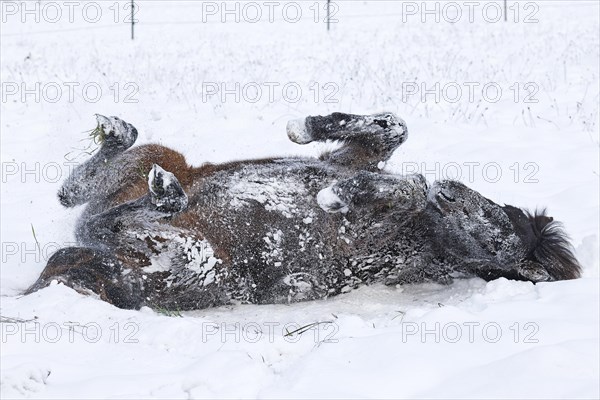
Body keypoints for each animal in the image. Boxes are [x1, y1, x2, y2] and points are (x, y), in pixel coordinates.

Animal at [25, 112, 580, 310]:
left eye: (498, 231)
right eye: (501, 209)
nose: (449, 190)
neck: (429, 238)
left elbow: (405, 186)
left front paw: (338, 196)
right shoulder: (348, 159)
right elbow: (391, 129)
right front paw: (309, 125)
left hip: (191, 254)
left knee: (110, 214)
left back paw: (165, 192)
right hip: (158, 163)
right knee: (81, 192)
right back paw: (120, 138)